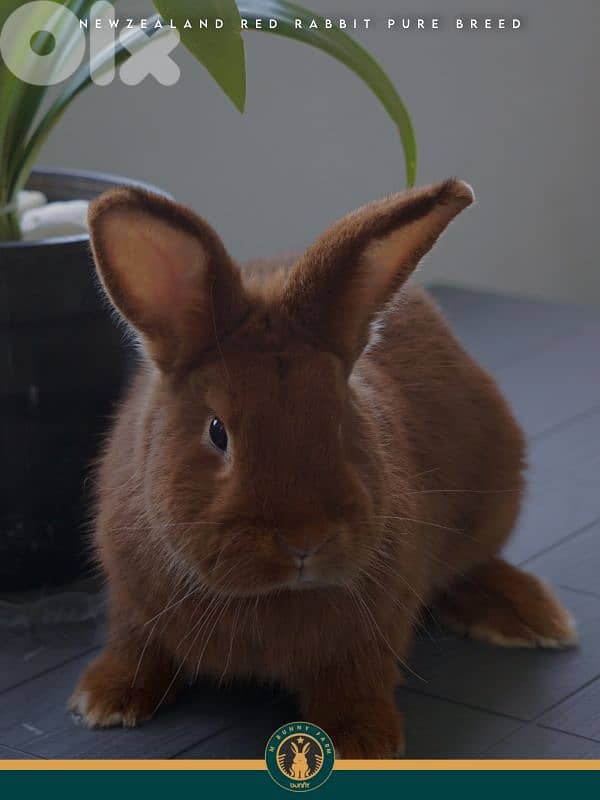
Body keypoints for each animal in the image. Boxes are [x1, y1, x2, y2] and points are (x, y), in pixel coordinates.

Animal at [69, 179, 577, 757]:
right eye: (218, 431)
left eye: (340, 419)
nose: (304, 539)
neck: (268, 597)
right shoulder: (130, 600)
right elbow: (134, 645)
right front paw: (105, 701)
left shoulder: (373, 631)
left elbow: (355, 679)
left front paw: (362, 741)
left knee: (474, 564)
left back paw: (528, 616)